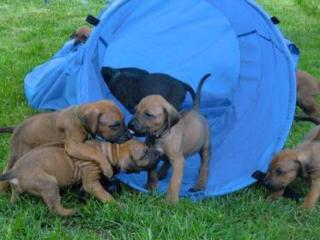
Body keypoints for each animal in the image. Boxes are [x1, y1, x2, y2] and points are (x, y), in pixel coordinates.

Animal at [0, 99, 131, 191]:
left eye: (123, 121)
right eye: (114, 125)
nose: (130, 135)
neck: (79, 117)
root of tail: (16, 128)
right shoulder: (73, 145)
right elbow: (94, 151)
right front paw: (107, 167)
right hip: (17, 154)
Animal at [0, 140, 160, 217]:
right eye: (145, 153)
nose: (158, 153)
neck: (111, 152)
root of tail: (15, 172)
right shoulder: (91, 182)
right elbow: (105, 195)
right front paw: (118, 205)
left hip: (21, 190)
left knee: (15, 197)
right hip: (50, 183)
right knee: (55, 208)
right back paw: (72, 212)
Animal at [127, 73, 212, 204]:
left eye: (148, 114)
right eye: (135, 110)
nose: (130, 125)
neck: (160, 136)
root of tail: (195, 110)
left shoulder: (178, 162)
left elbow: (174, 183)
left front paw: (171, 201)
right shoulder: (152, 155)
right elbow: (151, 173)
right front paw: (151, 187)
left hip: (205, 147)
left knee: (204, 166)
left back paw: (200, 184)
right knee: (166, 163)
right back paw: (161, 173)